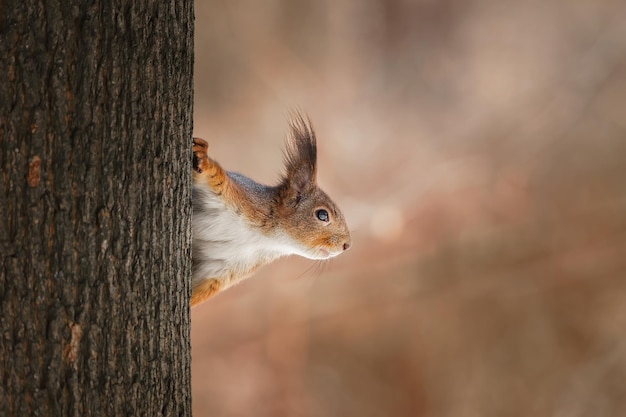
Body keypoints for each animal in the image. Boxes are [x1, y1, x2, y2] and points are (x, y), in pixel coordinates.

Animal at [190, 110, 352, 306]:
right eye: (322, 215)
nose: (347, 245)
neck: (265, 238)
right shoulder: (236, 195)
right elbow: (213, 175)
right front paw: (202, 157)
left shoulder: (224, 268)